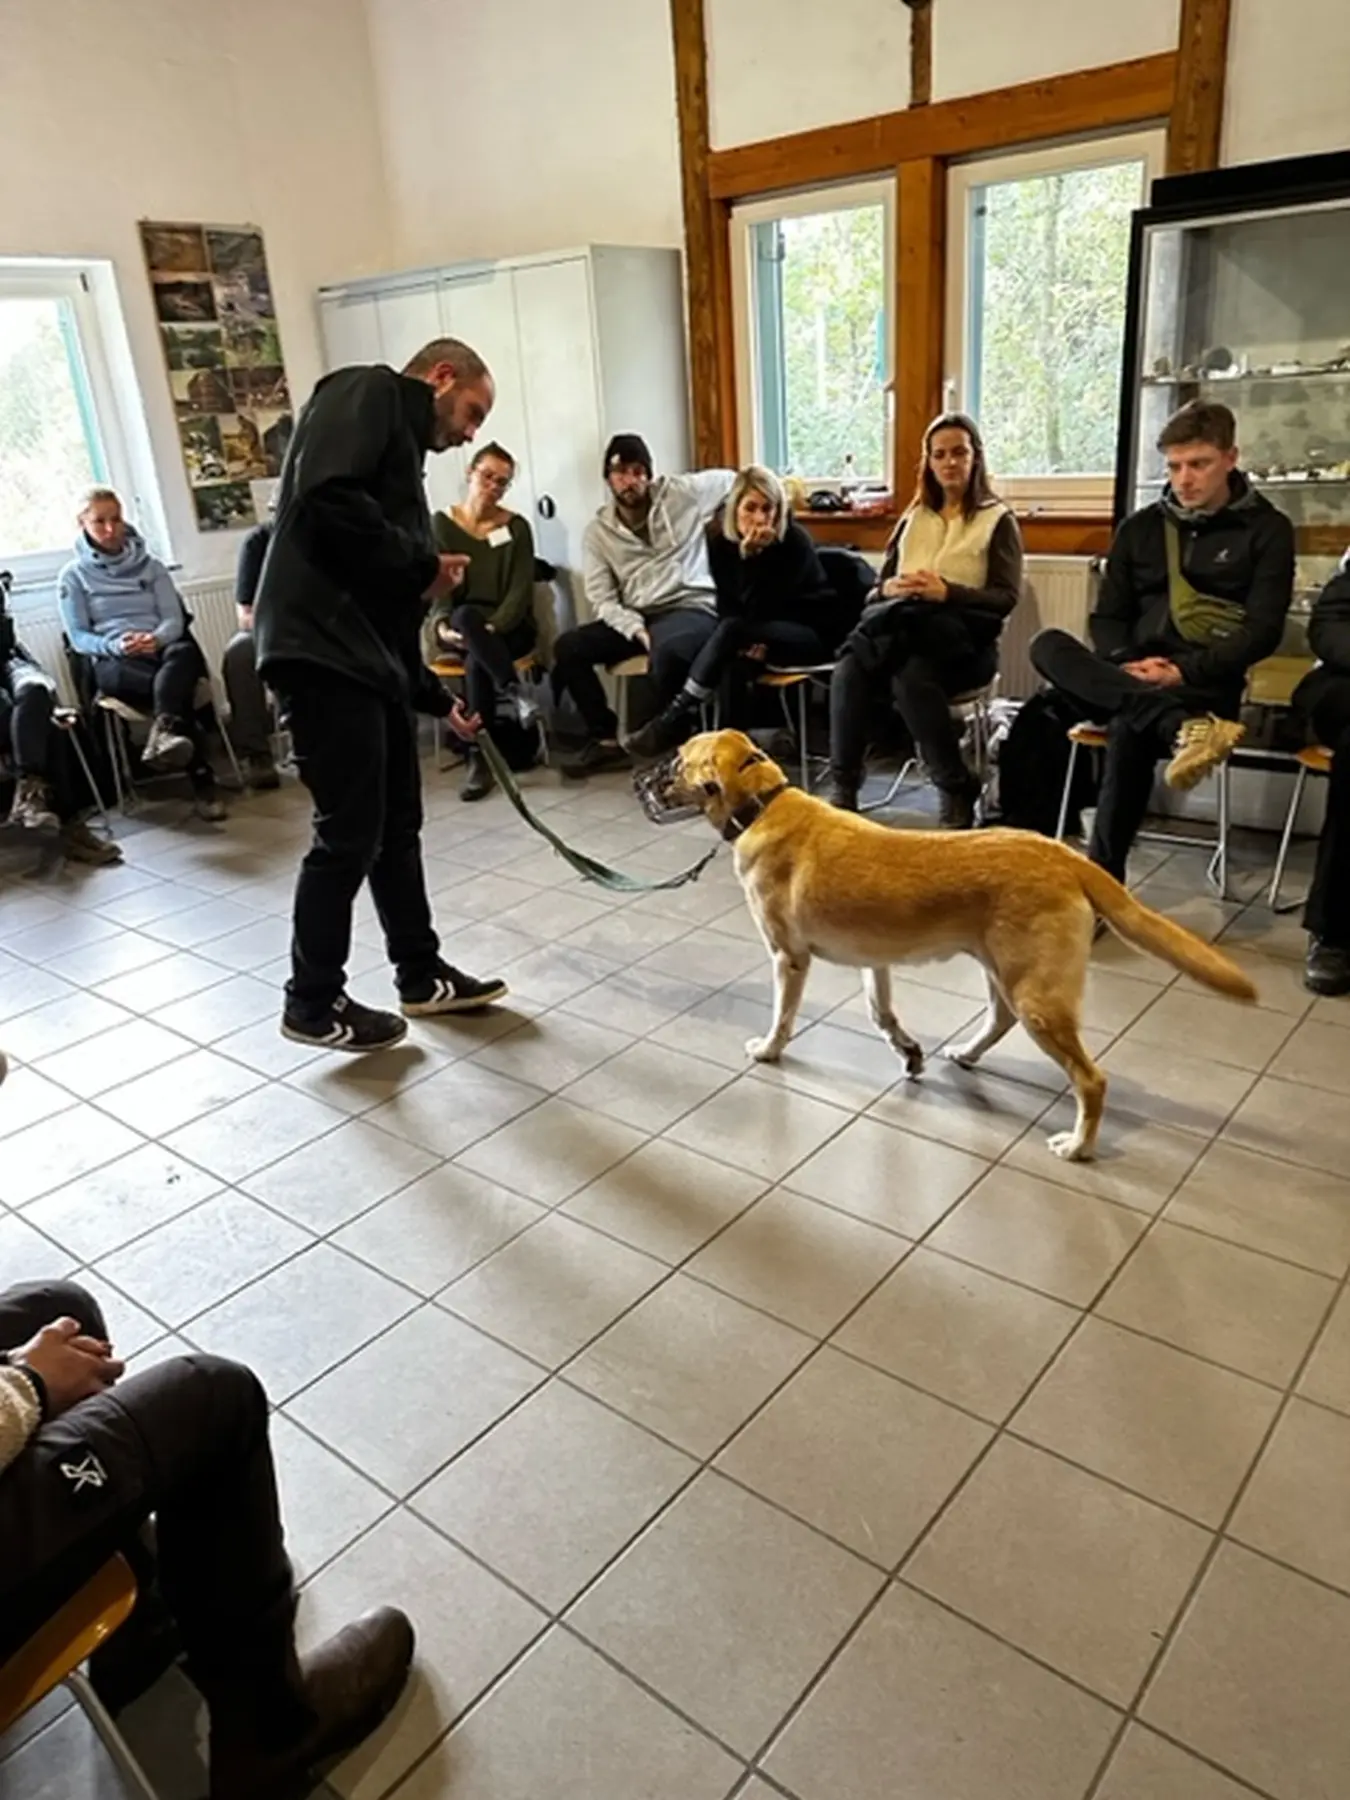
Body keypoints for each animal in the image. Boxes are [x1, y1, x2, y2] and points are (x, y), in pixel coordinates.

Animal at [651, 730, 1267, 1166]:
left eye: (678, 759)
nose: (646, 779)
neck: (763, 804)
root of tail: (1064, 854)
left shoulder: (788, 958)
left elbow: (782, 1017)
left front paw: (769, 1050)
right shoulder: (875, 963)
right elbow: (882, 1014)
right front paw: (908, 1051)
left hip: (1036, 996)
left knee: (1091, 1080)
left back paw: (1077, 1146)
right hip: (1004, 977)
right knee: (999, 1022)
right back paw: (966, 1055)